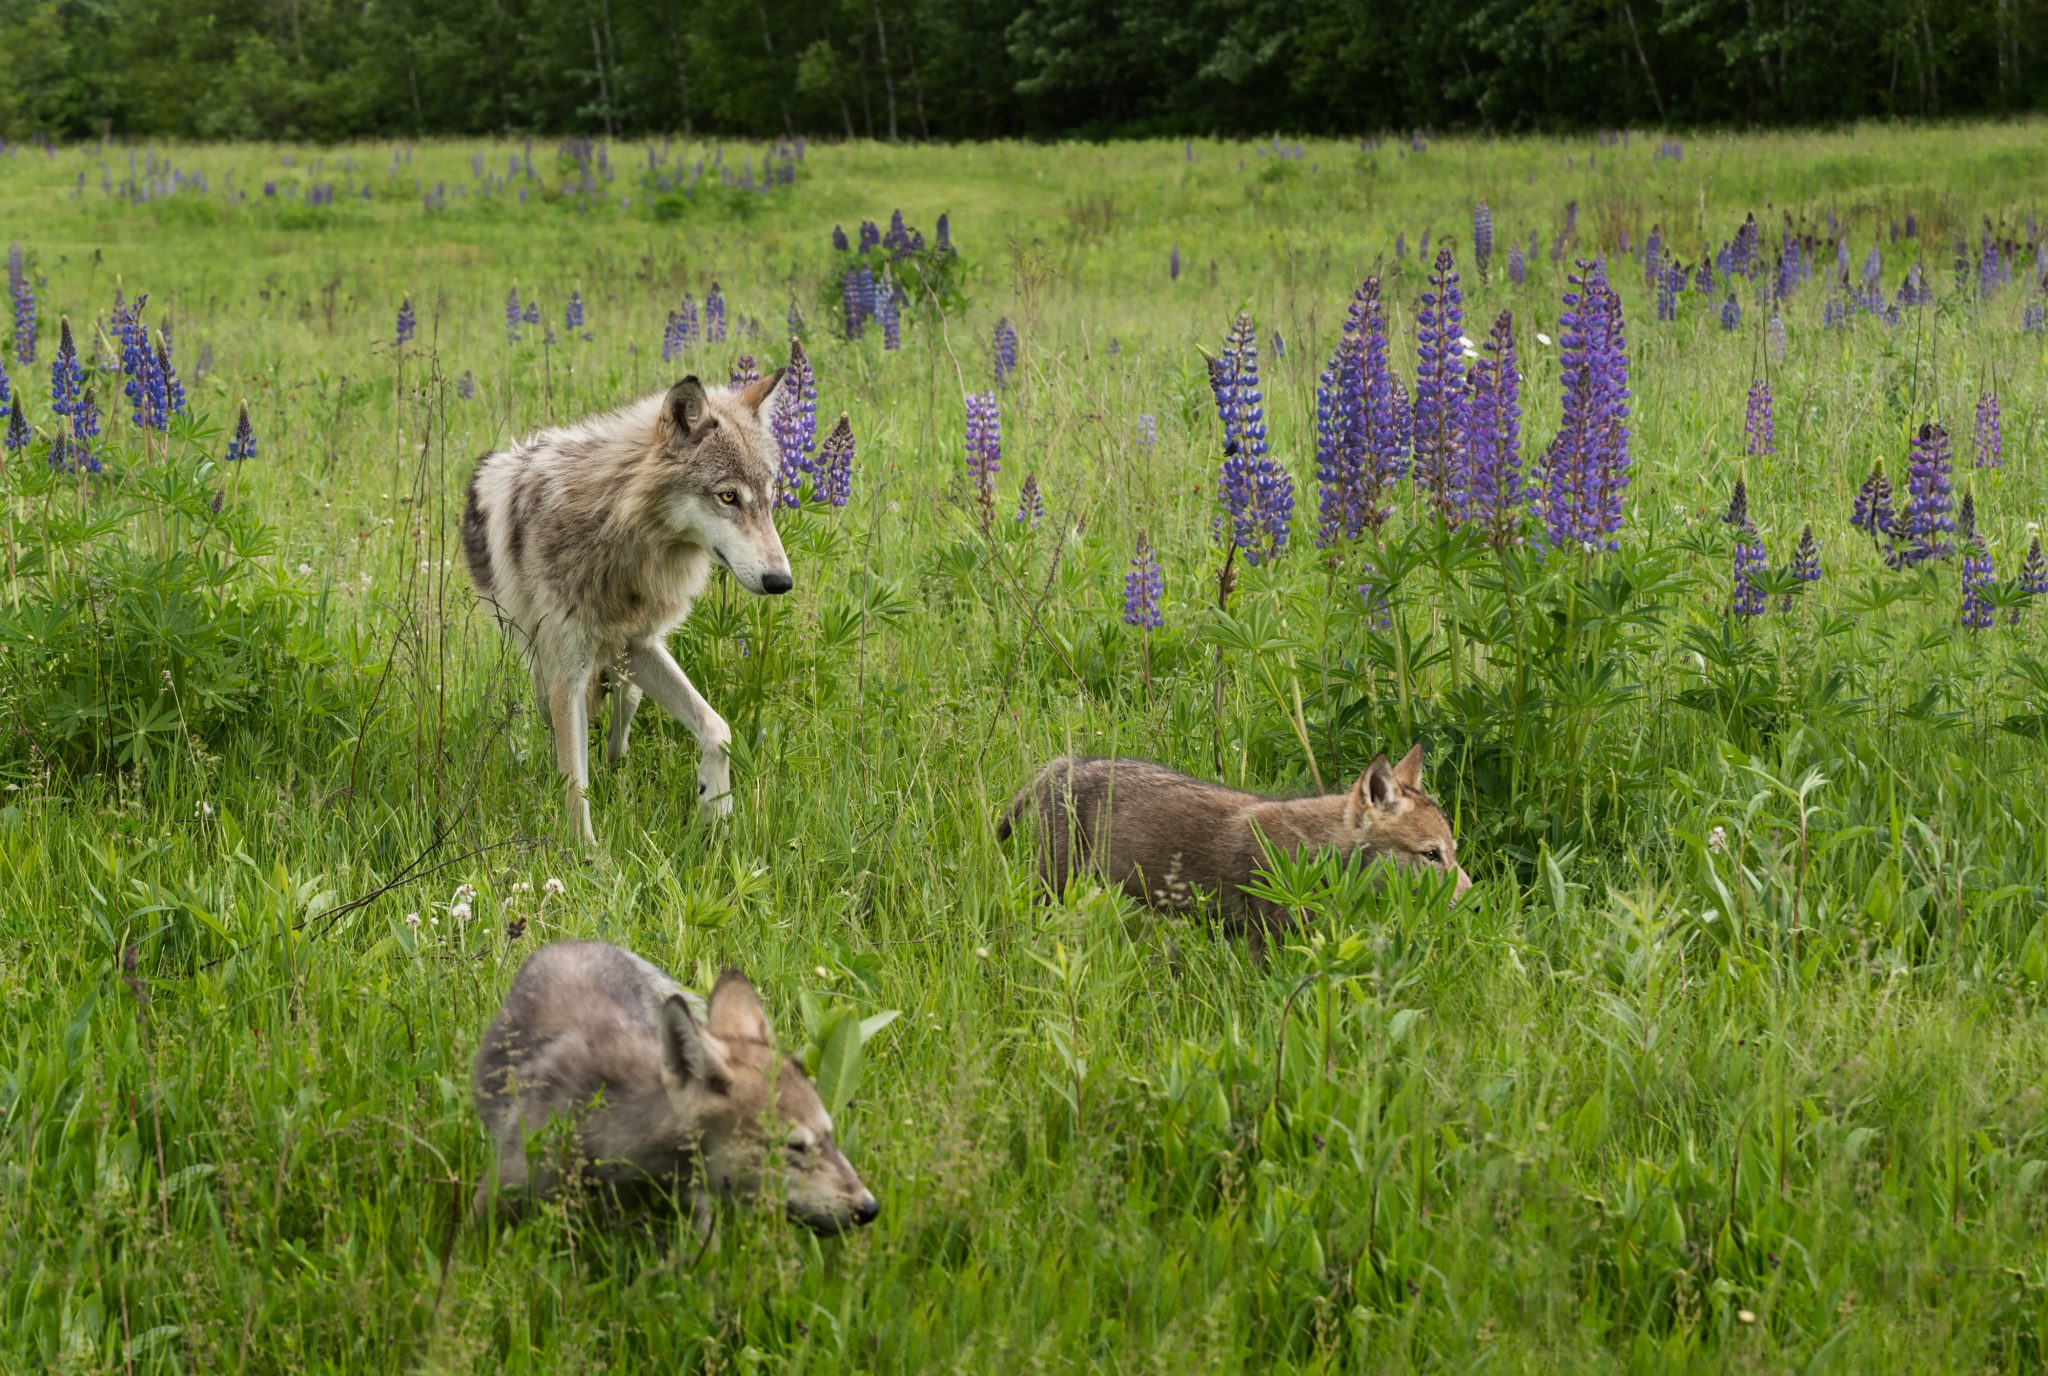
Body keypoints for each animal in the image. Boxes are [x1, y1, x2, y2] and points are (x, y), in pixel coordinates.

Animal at [461, 373, 791, 845]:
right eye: (728, 496)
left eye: (768, 497)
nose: (781, 581)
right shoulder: (566, 677)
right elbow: (574, 784)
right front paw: (585, 855)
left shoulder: (641, 644)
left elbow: (718, 729)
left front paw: (716, 811)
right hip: (542, 669)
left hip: (626, 664)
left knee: (625, 706)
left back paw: (616, 764)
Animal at [998, 745, 1471, 943]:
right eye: (1431, 855)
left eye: (1452, 851)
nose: (1475, 902)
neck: (1318, 852)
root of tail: (1064, 763)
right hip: (1055, 887)